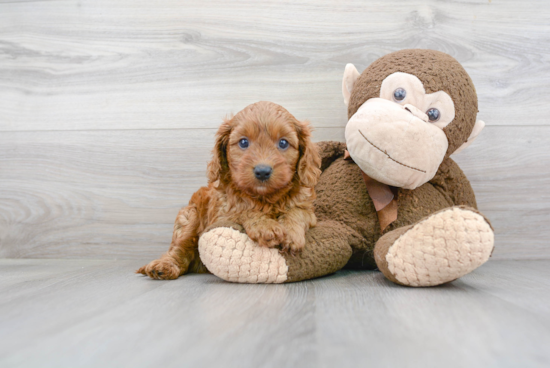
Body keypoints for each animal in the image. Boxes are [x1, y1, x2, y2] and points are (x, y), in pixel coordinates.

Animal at [135, 100, 322, 278]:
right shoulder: (222, 214)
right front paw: (265, 227)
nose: (262, 171)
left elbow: (297, 212)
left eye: (283, 143)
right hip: (190, 217)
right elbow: (243, 210)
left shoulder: (308, 210)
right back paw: (163, 266)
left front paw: (290, 234)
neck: (264, 198)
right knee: (179, 248)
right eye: (244, 142)